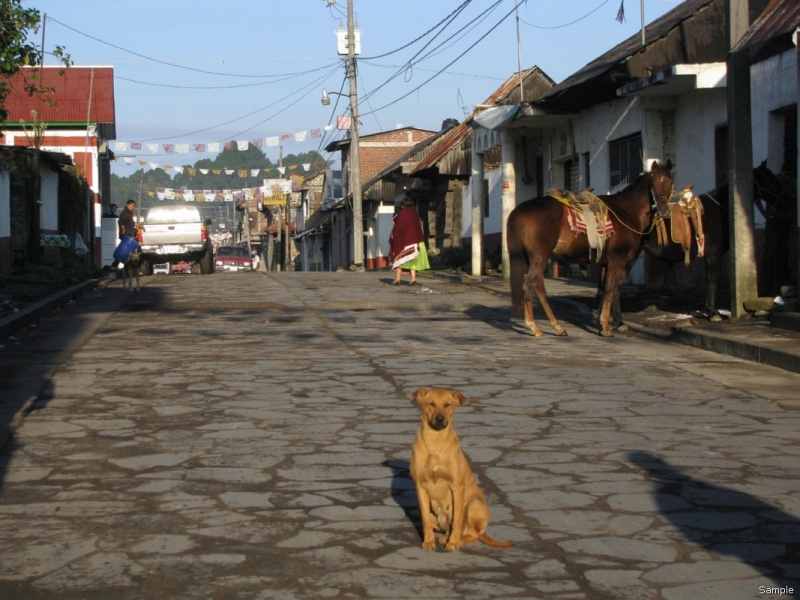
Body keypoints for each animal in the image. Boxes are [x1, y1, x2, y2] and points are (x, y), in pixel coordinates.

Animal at [410, 386, 516, 552]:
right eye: (431, 404)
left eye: (448, 405)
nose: (440, 418)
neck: (435, 443)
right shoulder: (420, 486)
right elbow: (426, 521)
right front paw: (428, 541)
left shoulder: (457, 487)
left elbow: (457, 520)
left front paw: (453, 543)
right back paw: (444, 537)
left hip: (474, 504)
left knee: (472, 533)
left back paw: (455, 540)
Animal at [506, 159, 676, 338]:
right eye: (653, 183)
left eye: (671, 182)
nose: (664, 209)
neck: (627, 212)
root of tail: (519, 209)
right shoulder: (617, 261)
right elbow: (609, 290)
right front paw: (606, 326)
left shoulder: (605, 263)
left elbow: (603, 290)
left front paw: (602, 323)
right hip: (540, 256)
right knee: (529, 285)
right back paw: (533, 326)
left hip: (533, 257)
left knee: (539, 287)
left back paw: (557, 326)